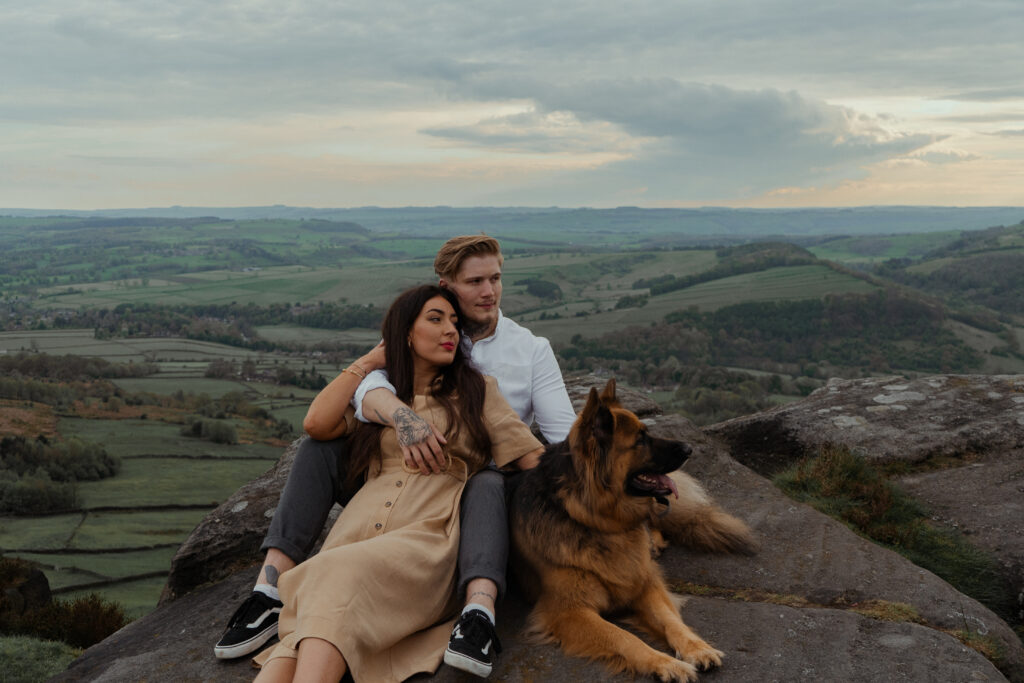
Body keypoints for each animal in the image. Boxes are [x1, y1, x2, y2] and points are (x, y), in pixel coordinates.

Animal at [509, 382, 757, 679]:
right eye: (640, 440)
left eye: (647, 432)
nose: (689, 449)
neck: (595, 520)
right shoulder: (570, 611)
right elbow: (623, 637)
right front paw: (667, 663)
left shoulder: (645, 583)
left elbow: (671, 620)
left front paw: (697, 648)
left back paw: (655, 541)